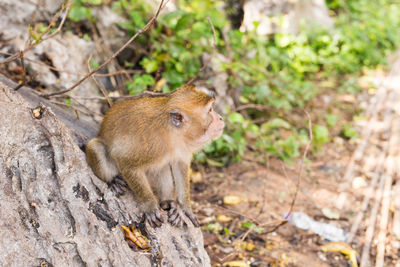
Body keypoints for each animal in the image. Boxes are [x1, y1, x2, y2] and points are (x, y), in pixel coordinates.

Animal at [85, 85, 223, 228]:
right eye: (210, 110)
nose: (220, 118)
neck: (172, 133)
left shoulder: (182, 148)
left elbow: (180, 165)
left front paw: (185, 207)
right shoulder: (152, 144)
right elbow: (125, 161)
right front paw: (150, 206)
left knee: (163, 168)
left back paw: (167, 203)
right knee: (96, 147)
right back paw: (112, 180)